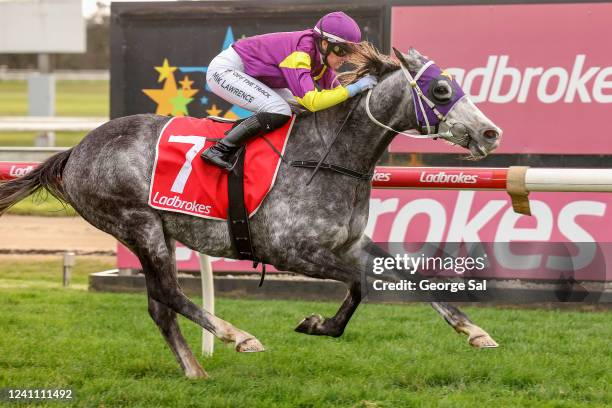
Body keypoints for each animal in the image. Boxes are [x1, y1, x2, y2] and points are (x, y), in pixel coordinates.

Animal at [0, 48, 502, 380]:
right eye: (441, 89)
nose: (490, 133)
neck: (329, 154)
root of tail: (75, 151)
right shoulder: (290, 250)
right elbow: (364, 283)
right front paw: (317, 324)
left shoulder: (349, 243)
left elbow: (406, 278)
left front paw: (475, 331)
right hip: (137, 225)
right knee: (167, 292)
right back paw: (236, 336)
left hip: (158, 230)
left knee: (159, 305)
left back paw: (195, 371)